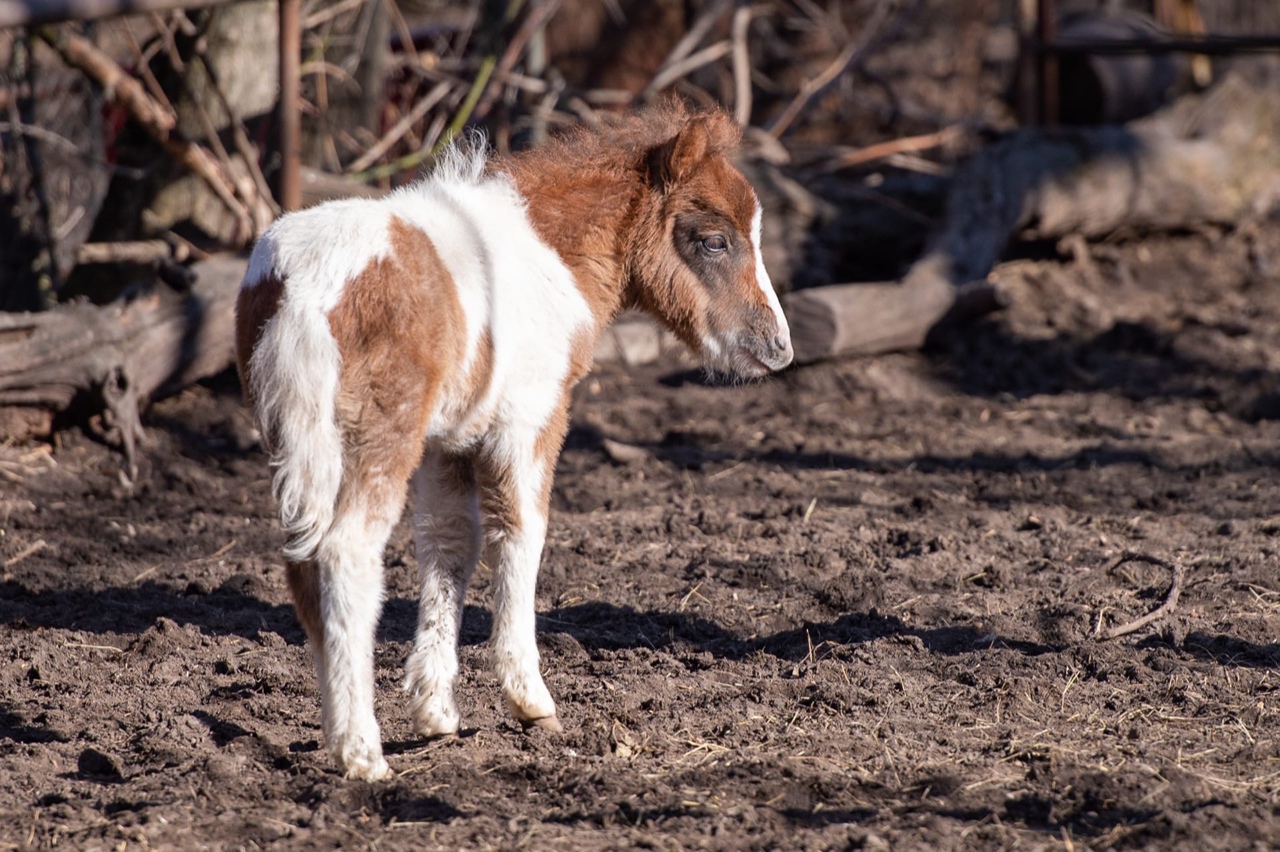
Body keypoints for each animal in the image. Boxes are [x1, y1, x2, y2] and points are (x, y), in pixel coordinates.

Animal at [231, 104, 788, 777]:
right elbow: (522, 532)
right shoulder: (531, 419)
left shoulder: (446, 442)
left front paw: (436, 711)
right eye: (713, 240)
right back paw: (362, 752)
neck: (551, 254)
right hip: (377, 437)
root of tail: (303, 287)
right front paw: (531, 701)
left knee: (304, 563)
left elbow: (449, 545)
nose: (778, 347)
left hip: (297, 444)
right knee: (347, 553)